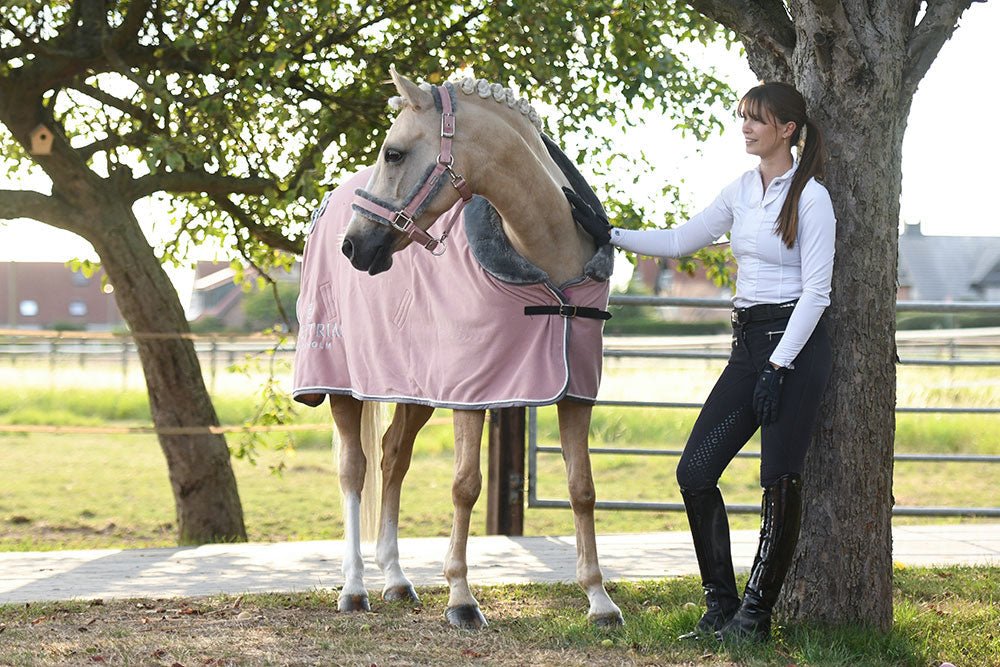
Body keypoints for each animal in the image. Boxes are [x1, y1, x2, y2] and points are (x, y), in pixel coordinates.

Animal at [293, 67, 623, 629]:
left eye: (394, 153)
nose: (354, 246)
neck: (544, 258)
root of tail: (325, 210)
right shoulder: (472, 394)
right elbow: (465, 484)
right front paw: (462, 599)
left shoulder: (575, 392)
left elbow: (582, 489)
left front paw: (600, 601)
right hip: (342, 386)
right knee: (354, 470)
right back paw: (355, 588)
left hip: (415, 391)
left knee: (392, 458)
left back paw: (397, 580)